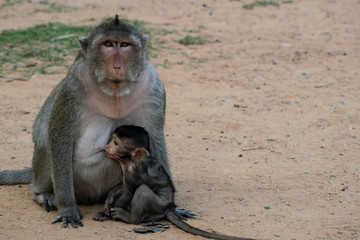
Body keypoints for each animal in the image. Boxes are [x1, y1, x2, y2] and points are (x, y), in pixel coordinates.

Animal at [0, 15, 188, 228]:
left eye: (125, 45)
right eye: (107, 44)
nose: (117, 66)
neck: (115, 91)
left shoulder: (153, 88)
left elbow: (155, 140)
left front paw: (172, 206)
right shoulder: (72, 88)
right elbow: (59, 137)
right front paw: (67, 208)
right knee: (47, 147)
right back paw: (43, 194)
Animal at [94, 125, 255, 240]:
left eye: (115, 143)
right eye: (111, 140)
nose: (107, 147)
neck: (129, 160)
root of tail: (169, 207)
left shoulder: (133, 172)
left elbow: (129, 192)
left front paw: (107, 213)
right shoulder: (127, 171)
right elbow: (122, 186)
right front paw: (108, 200)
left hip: (158, 205)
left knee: (143, 190)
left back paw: (129, 217)